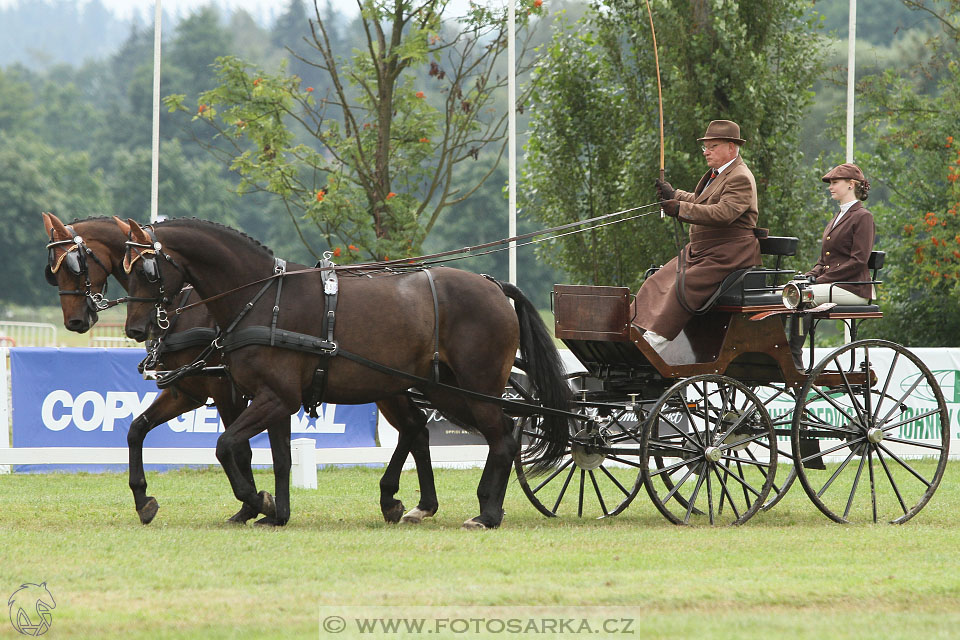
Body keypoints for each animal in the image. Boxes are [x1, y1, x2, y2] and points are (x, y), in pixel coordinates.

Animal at [119, 218, 568, 528]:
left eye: (146, 271)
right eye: (125, 270)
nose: (136, 329)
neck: (262, 297)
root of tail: (494, 286)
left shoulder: (270, 398)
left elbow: (227, 445)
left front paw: (257, 502)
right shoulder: (268, 398)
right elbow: (279, 458)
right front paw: (276, 512)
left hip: (475, 388)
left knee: (502, 437)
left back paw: (486, 513)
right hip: (442, 389)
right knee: (452, 432)